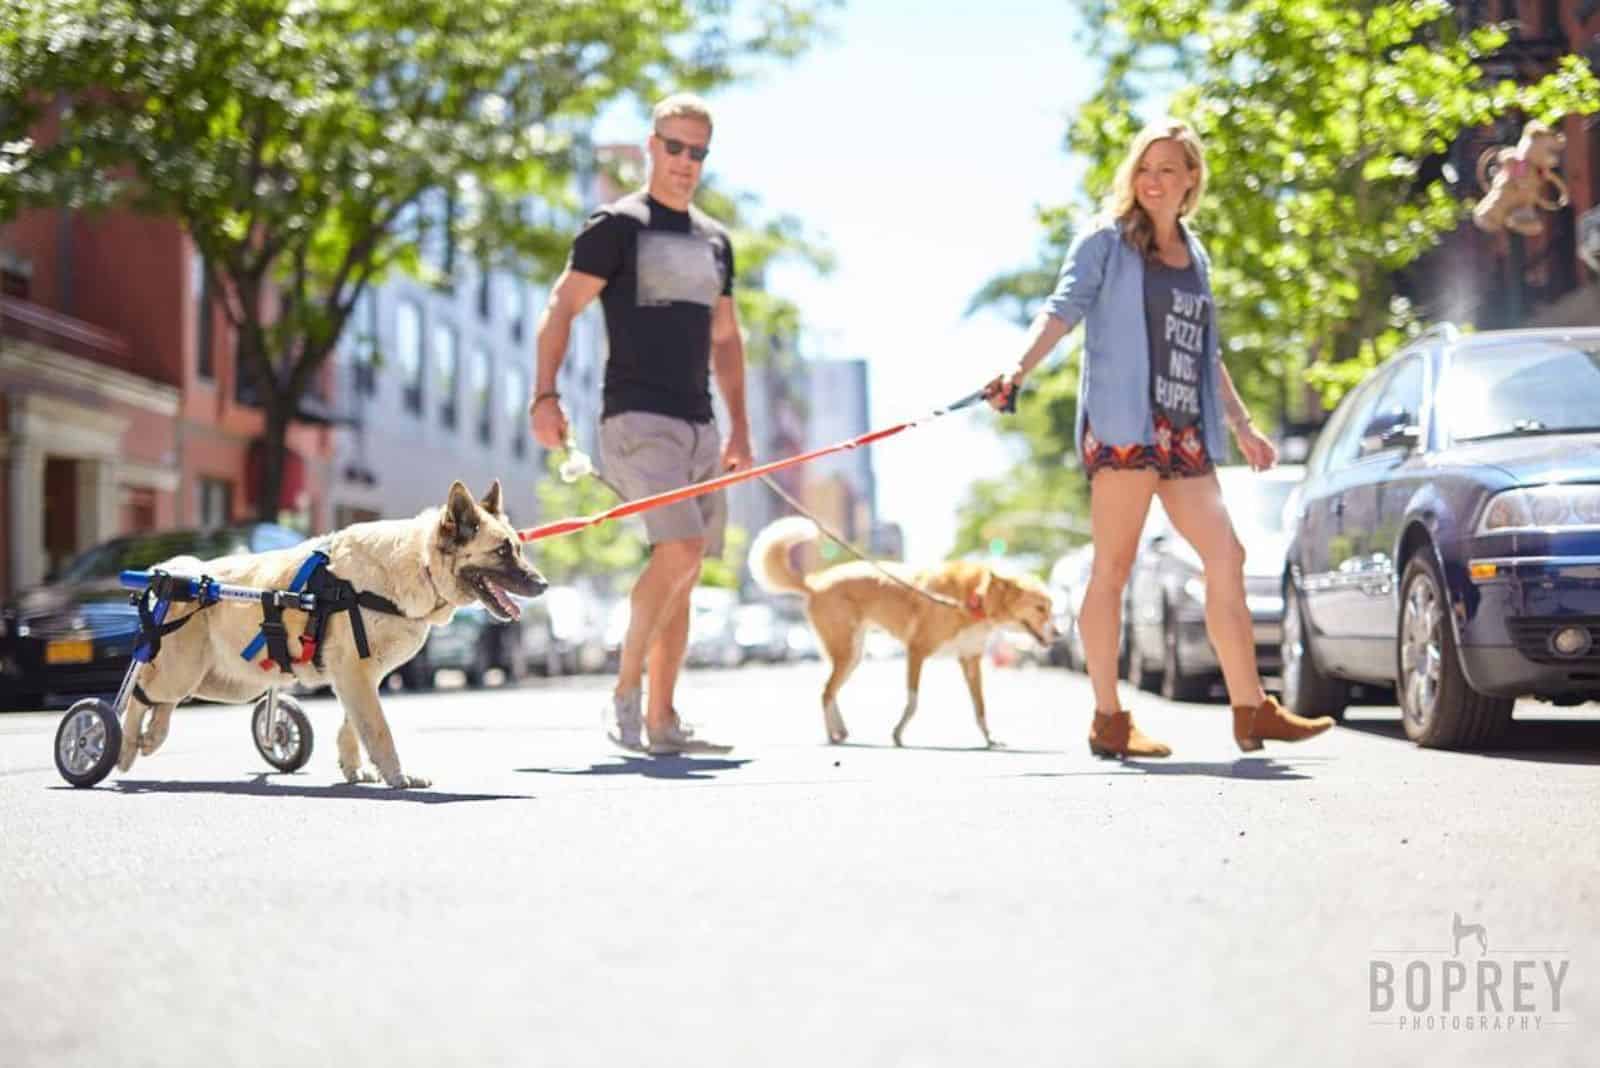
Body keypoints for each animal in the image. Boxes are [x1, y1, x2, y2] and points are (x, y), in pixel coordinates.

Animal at [116, 479, 547, 789]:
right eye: (503, 551)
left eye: (518, 548)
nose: (543, 585)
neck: (418, 564)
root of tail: (176, 575)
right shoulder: (355, 674)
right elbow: (378, 729)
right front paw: (397, 777)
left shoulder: (358, 677)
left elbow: (354, 724)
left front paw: (354, 768)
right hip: (185, 671)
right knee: (139, 694)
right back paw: (120, 747)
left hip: (218, 681)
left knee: (161, 701)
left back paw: (151, 738)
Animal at [752, 518, 1062, 741]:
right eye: (1040, 608)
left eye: (1050, 606)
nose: (1059, 635)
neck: (974, 600)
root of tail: (814, 582)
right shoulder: (917, 651)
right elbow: (913, 701)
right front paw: (898, 734)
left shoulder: (970, 662)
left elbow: (980, 706)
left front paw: (990, 738)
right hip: (846, 651)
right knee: (826, 691)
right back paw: (833, 735)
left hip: (853, 654)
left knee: (830, 691)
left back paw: (840, 731)